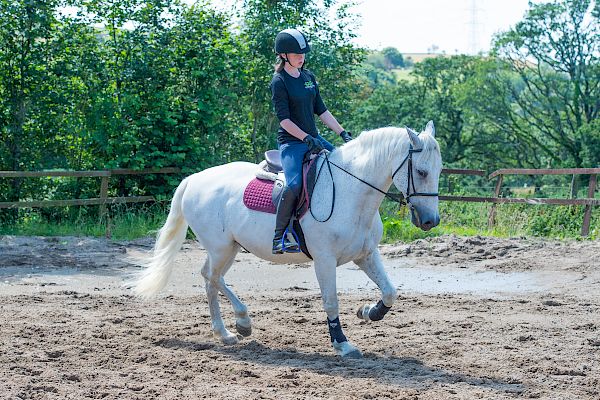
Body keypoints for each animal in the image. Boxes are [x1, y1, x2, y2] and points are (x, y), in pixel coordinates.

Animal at [130, 122, 440, 360]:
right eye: (421, 172)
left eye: (437, 171)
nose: (430, 221)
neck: (350, 190)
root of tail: (193, 180)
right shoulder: (324, 260)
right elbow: (331, 302)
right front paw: (342, 345)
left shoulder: (366, 254)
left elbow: (390, 292)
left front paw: (368, 311)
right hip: (220, 248)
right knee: (211, 276)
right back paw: (243, 322)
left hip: (229, 248)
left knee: (210, 280)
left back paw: (226, 332)